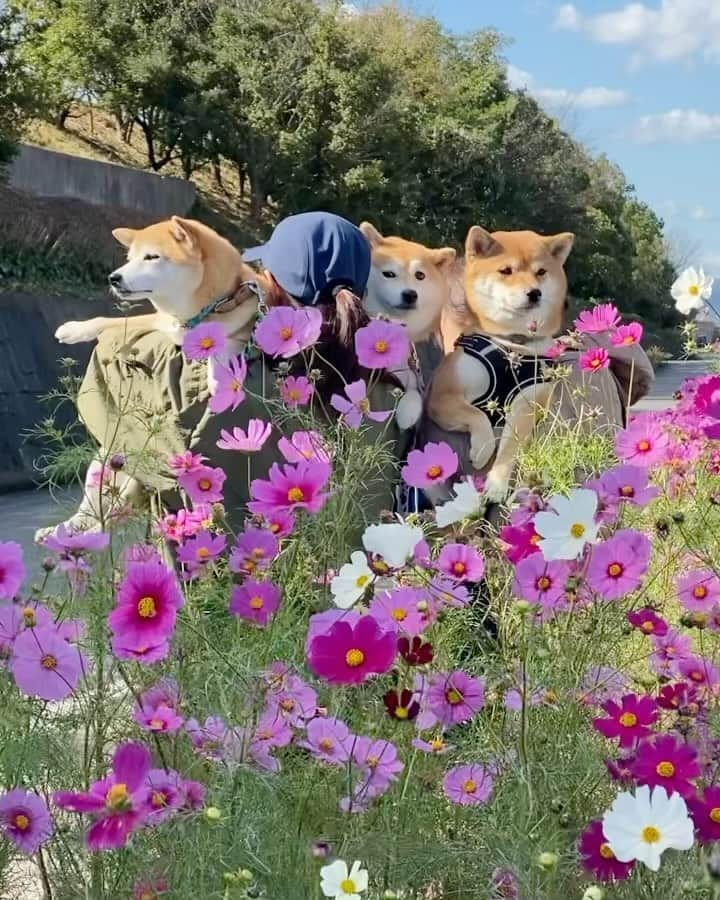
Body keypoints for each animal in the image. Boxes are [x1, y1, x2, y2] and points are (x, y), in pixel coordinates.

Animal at [38, 216, 262, 540]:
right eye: (130, 258)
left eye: (152, 257)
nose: (114, 278)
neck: (192, 317)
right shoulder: (160, 323)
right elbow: (109, 321)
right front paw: (74, 329)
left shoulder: (244, 325)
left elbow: (221, 346)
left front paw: (218, 378)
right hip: (103, 465)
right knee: (91, 513)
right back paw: (62, 532)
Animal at [360, 220, 456, 428]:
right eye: (388, 274)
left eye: (420, 275)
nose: (410, 294)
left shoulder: (412, 376)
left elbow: (414, 393)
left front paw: (407, 413)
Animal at [428, 224, 572, 502]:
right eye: (506, 271)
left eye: (541, 272)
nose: (534, 293)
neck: (511, 343)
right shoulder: (443, 395)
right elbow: (476, 415)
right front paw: (483, 449)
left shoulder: (528, 403)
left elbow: (509, 447)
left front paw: (496, 484)